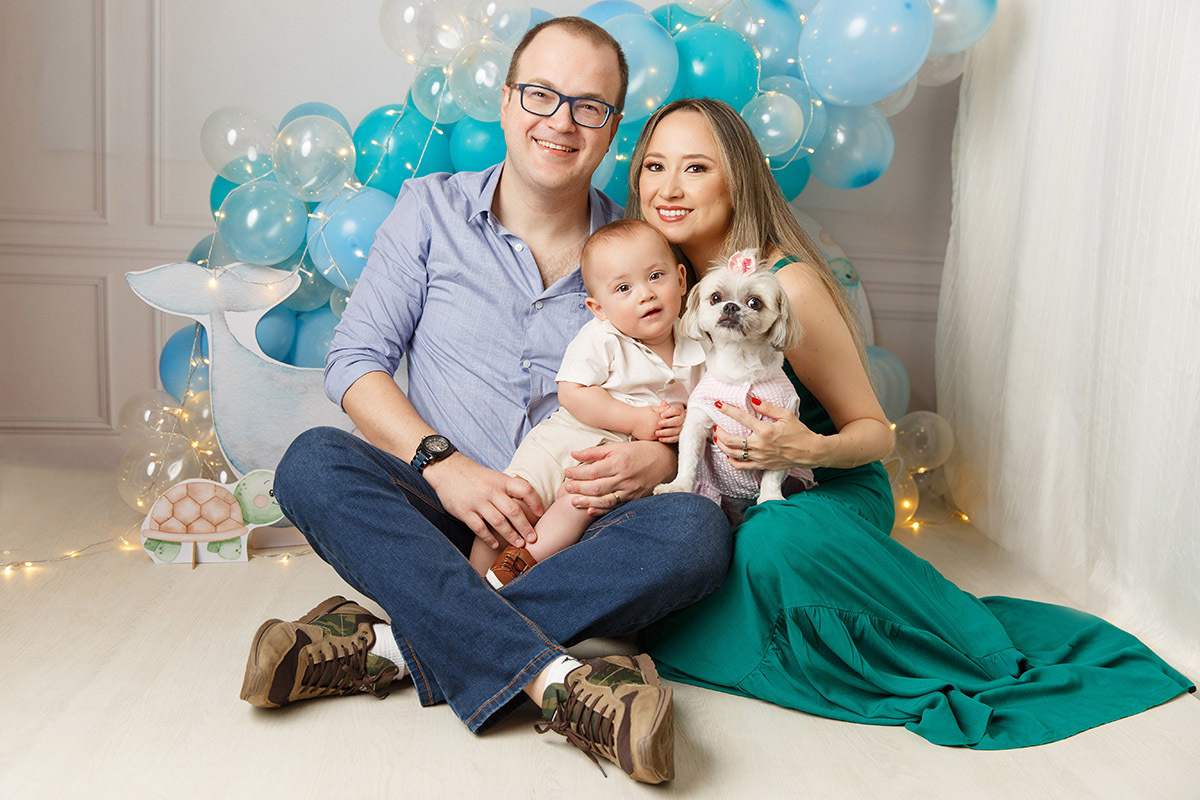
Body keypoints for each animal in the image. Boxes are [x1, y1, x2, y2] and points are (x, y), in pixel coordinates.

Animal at [654, 250, 815, 513]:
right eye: (716, 298)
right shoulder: (698, 420)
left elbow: (774, 471)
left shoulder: (780, 430)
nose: (730, 306)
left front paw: (770, 497)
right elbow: (687, 459)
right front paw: (677, 486)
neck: (740, 366)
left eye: (754, 302)